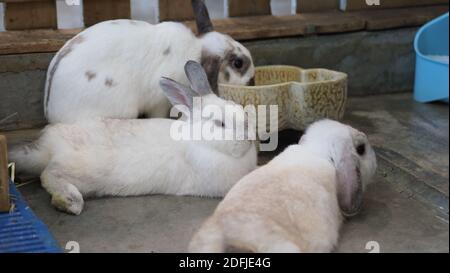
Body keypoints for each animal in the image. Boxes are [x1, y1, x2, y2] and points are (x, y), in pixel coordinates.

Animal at [9, 60, 256, 215]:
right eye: (220, 124)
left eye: (240, 110)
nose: (248, 137)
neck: (201, 143)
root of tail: (48, 146)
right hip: (81, 172)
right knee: (48, 174)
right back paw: (70, 201)